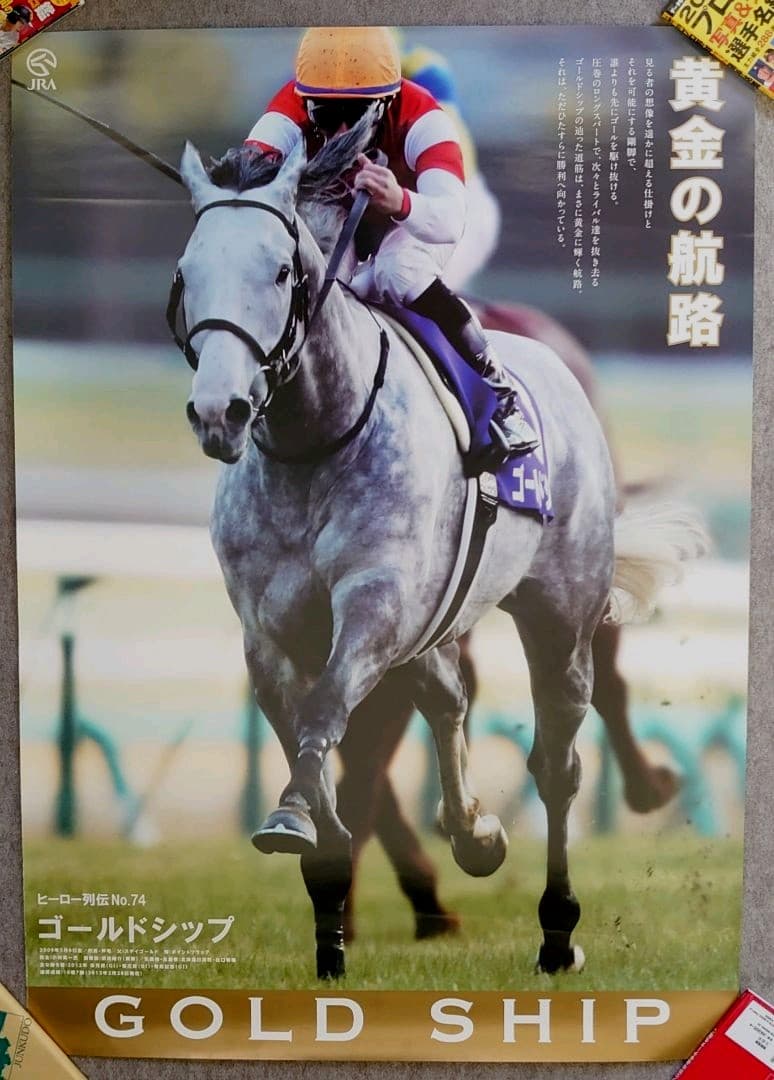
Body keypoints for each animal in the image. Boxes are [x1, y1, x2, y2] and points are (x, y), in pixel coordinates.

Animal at [172, 120, 707, 979]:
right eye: (187, 273)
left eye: (282, 270)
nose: (219, 411)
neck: (314, 440)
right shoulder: (270, 633)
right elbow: (316, 744)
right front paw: (330, 893)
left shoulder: (375, 604)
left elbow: (331, 719)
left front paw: (302, 829)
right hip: (435, 626)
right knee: (449, 697)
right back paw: (474, 835)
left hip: (558, 615)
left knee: (559, 757)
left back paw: (558, 931)